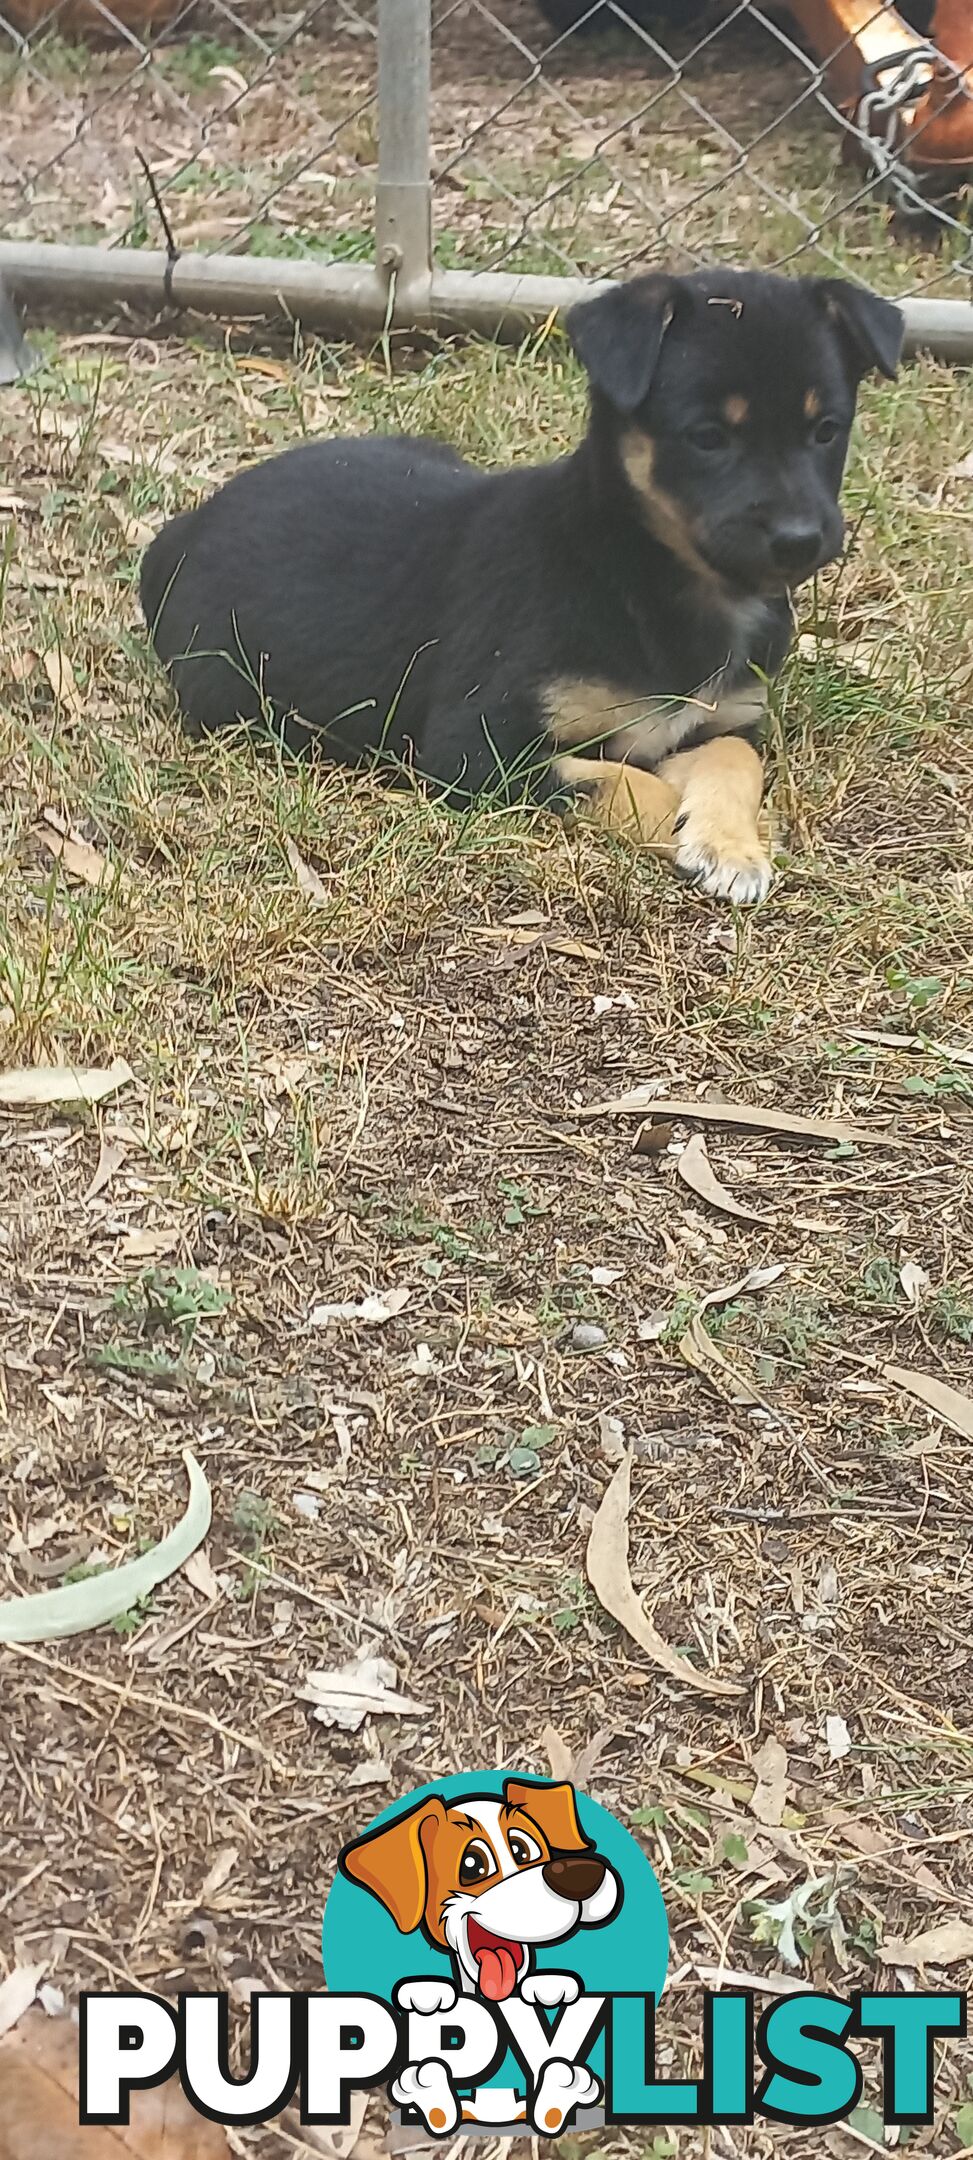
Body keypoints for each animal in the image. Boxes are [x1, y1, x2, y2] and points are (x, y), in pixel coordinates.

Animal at [140, 270, 899, 902]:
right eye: (707, 436)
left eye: (826, 430)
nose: (801, 539)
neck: (640, 570)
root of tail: (189, 523)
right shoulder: (472, 749)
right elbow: (623, 782)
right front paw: (686, 832)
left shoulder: (727, 716)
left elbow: (734, 756)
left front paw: (733, 844)